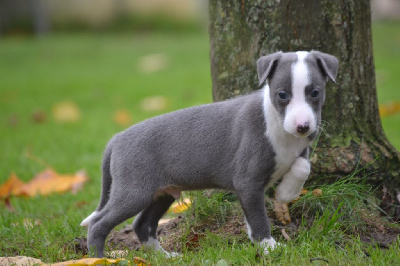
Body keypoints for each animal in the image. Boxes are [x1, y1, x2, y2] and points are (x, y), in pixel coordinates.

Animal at [81, 51, 338, 256]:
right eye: (282, 95)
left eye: (315, 93)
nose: (302, 126)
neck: (275, 121)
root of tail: (116, 139)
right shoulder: (247, 181)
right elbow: (258, 219)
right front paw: (269, 247)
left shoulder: (301, 148)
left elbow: (303, 165)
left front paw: (286, 192)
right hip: (134, 190)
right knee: (98, 224)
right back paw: (99, 258)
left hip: (162, 192)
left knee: (142, 224)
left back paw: (164, 256)